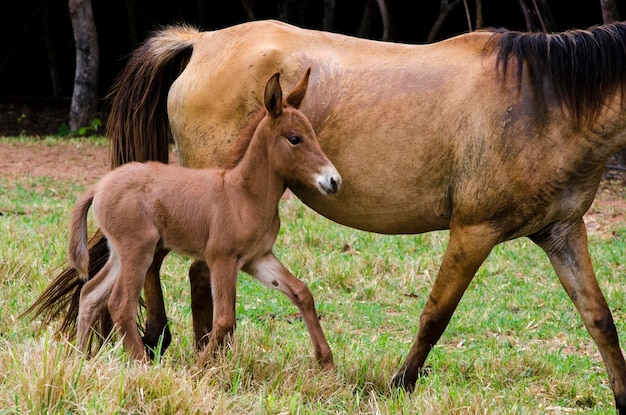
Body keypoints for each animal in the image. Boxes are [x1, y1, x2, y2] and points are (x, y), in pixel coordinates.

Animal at [28, 19, 624, 412]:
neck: (541, 100)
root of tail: (202, 40)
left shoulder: (561, 232)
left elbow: (599, 319)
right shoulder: (473, 231)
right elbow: (436, 315)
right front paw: (398, 387)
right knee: (171, 271)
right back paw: (165, 344)